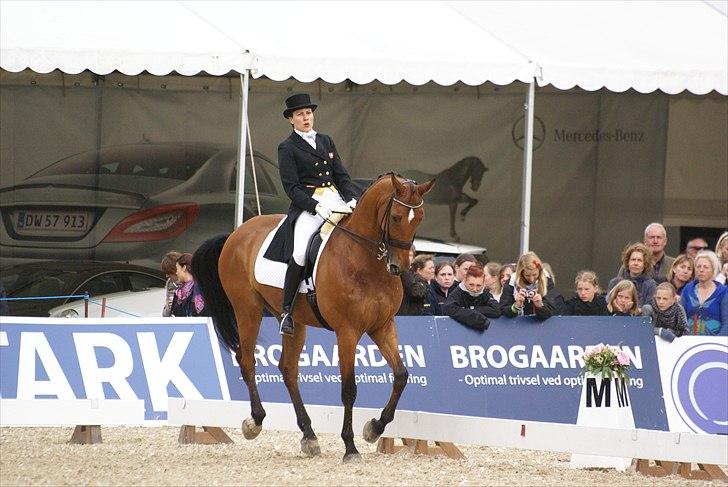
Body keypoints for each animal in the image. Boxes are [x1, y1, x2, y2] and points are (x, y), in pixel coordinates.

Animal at [192, 174, 432, 462]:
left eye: (419, 218)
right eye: (396, 217)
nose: (398, 267)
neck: (364, 260)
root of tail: (237, 233)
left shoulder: (382, 326)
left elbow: (401, 375)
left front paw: (374, 428)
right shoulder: (347, 331)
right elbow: (349, 389)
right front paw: (350, 447)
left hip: (292, 320)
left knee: (287, 369)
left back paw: (308, 435)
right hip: (247, 309)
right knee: (247, 360)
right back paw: (255, 422)